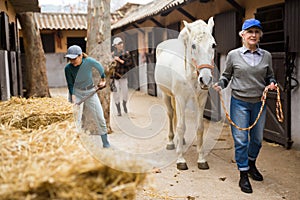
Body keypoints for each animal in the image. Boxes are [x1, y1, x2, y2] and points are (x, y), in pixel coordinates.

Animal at [155, 17, 216, 170]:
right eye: (193, 46)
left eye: (213, 45)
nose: (206, 79)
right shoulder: (180, 98)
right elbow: (181, 127)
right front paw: (181, 160)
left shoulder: (200, 99)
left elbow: (199, 128)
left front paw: (201, 159)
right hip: (167, 95)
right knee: (171, 115)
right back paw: (171, 142)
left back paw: (180, 141)